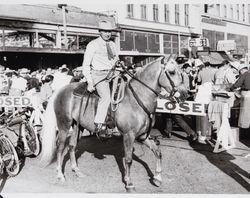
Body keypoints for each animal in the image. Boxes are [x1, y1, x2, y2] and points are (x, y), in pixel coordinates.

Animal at [39, 56, 188, 193]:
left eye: (181, 71)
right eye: (172, 72)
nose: (184, 94)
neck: (136, 99)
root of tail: (60, 90)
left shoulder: (143, 136)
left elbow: (158, 152)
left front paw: (157, 178)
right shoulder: (129, 135)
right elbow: (128, 159)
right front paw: (129, 184)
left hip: (77, 126)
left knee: (71, 146)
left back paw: (77, 171)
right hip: (64, 125)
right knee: (60, 148)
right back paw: (60, 175)